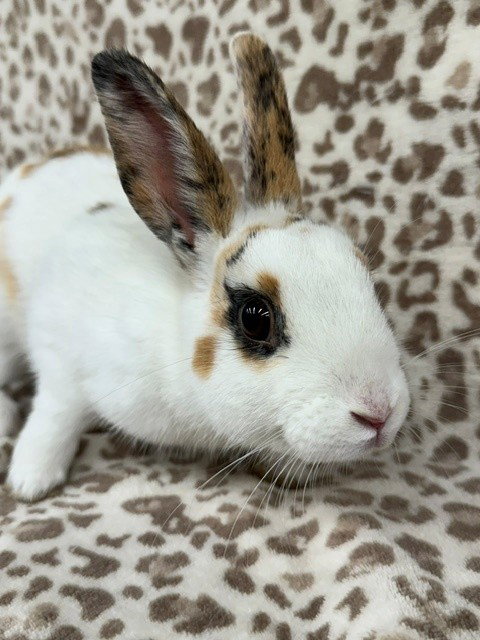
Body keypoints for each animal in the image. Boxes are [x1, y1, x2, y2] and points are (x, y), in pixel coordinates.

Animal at [0, 33, 410, 501]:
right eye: (255, 318)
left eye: (371, 286)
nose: (380, 413)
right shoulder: (59, 353)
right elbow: (55, 413)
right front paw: (30, 479)